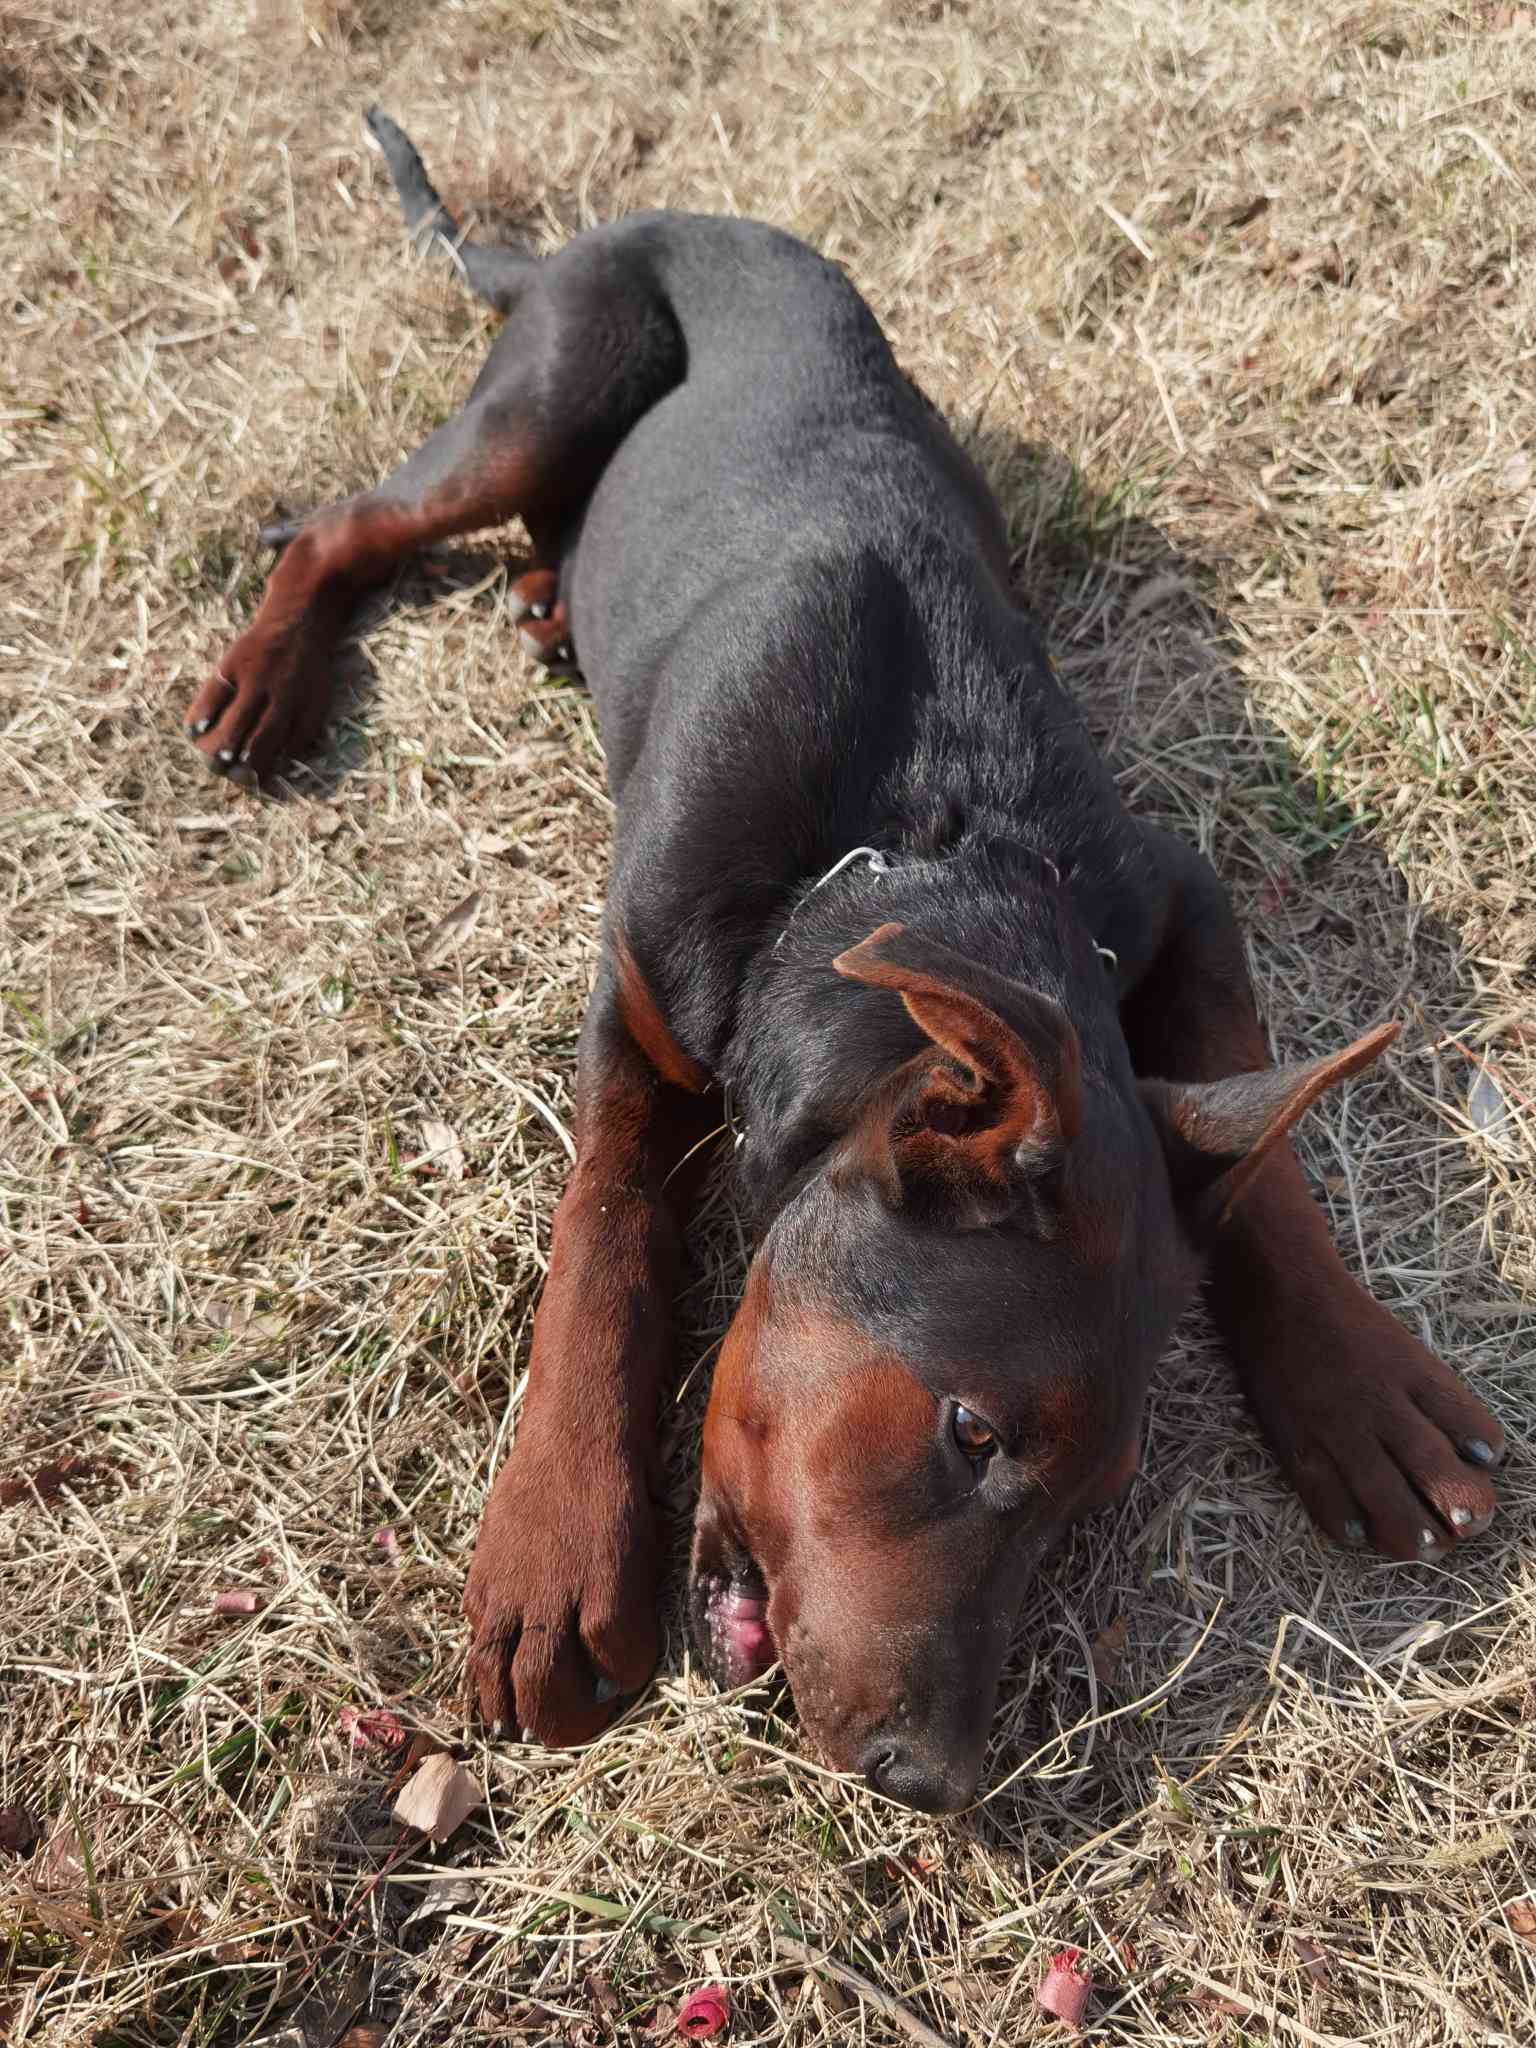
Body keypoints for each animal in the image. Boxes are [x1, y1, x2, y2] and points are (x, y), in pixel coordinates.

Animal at [186, 112, 1507, 1810]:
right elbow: (605, 1229)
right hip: (550, 388)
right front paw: (558, 1540)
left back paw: (549, 598)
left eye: (1092, 1496)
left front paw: (1355, 1386)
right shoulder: (639, 988)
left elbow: (1250, 1140)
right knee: (350, 520)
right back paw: (267, 672)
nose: (932, 1779)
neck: (912, 836)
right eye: (970, 1432)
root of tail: (604, 232)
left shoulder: (1171, 890)